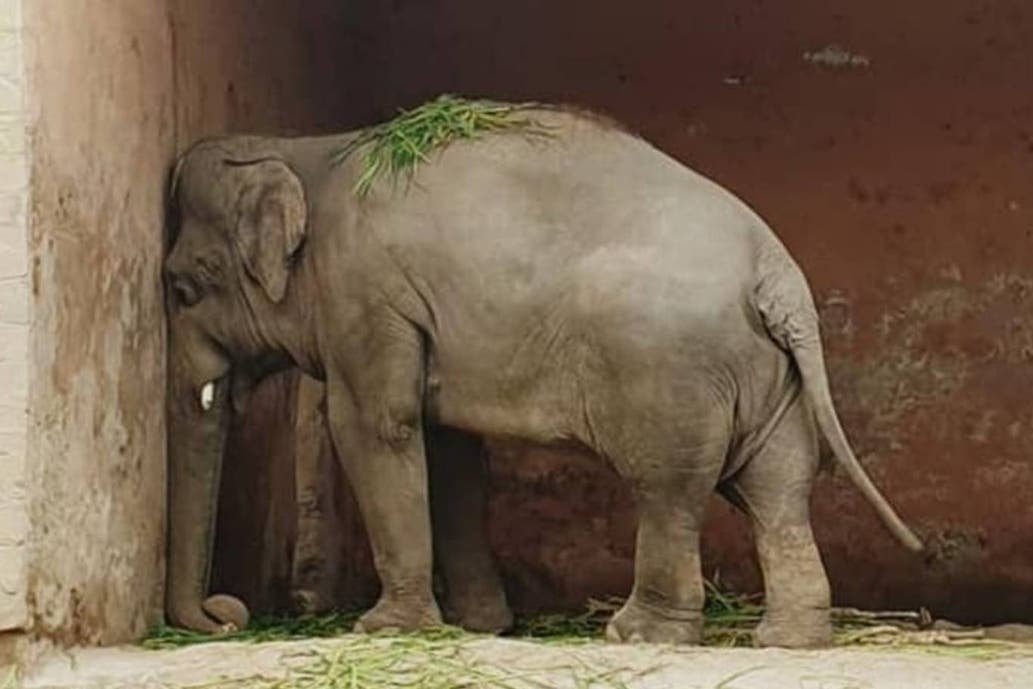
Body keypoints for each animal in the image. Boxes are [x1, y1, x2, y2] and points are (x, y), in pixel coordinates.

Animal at [163, 104, 923, 648]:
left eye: (183, 286)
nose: (226, 612)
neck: (302, 149)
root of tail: (775, 268)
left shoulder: (364, 291)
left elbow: (375, 427)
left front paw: (384, 628)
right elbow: (448, 451)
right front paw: (480, 626)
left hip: (671, 368)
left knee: (669, 490)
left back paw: (638, 634)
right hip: (767, 373)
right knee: (778, 487)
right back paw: (786, 640)